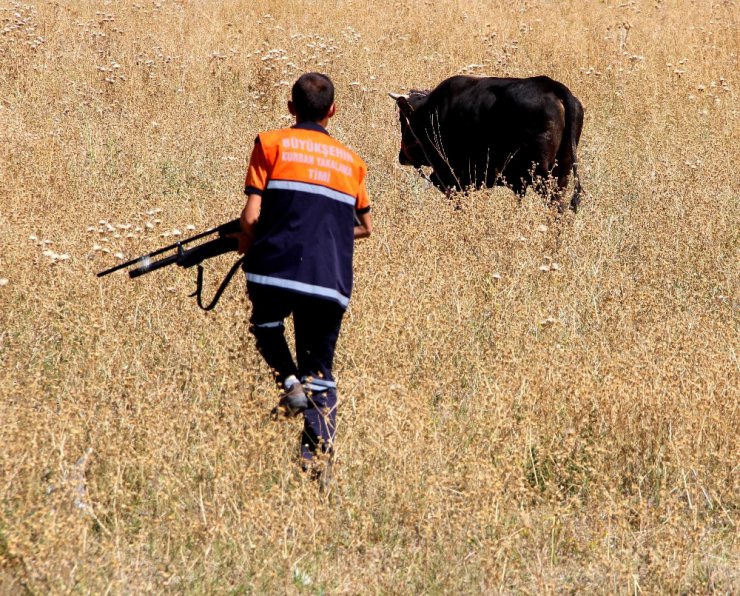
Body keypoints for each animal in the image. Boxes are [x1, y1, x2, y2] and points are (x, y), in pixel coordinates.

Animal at [394, 75, 584, 212]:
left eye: (402, 120)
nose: (402, 157)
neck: (429, 113)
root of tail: (550, 85)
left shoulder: (451, 178)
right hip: (563, 171)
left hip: (542, 175)